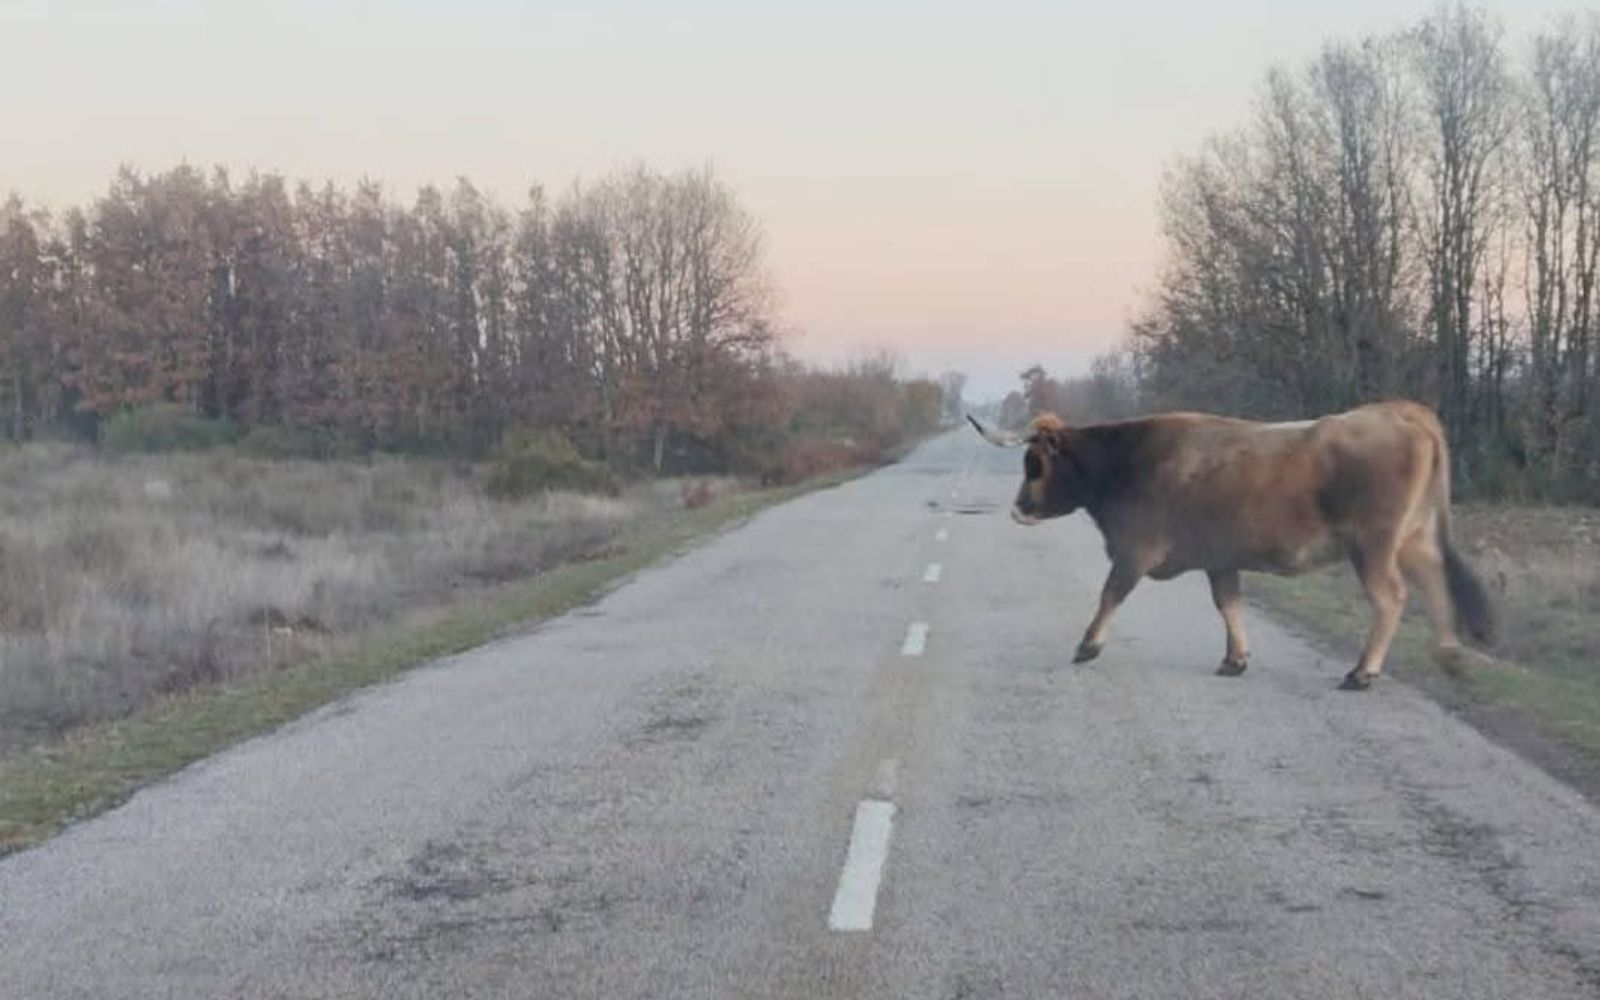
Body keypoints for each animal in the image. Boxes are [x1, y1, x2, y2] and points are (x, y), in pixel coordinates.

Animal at [968, 401, 1494, 690]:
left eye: (1034, 463)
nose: (1018, 508)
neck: (1126, 460)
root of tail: (1400, 409)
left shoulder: (1134, 551)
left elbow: (1110, 594)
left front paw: (1087, 645)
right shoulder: (1220, 559)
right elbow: (1229, 605)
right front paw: (1235, 658)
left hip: (1373, 545)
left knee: (1392, 598)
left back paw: (1362, 672)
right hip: (1413, 538)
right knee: (1435, 580)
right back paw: (1449, 654)